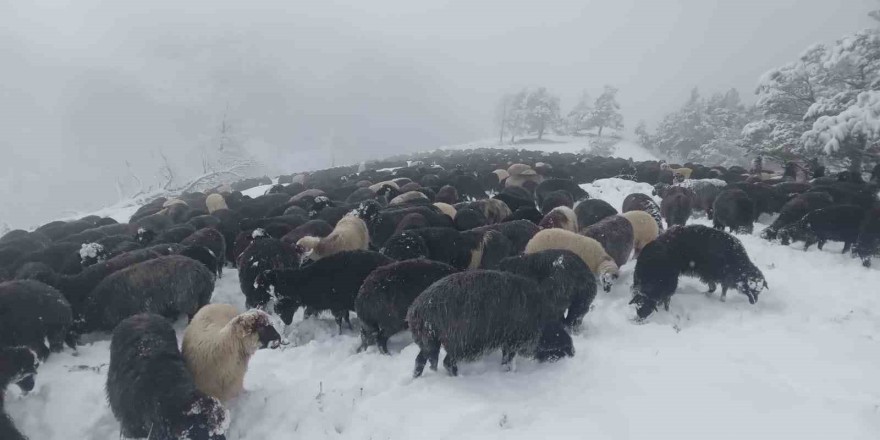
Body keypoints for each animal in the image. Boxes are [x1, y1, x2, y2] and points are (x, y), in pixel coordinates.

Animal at [254, 249, 392, 332]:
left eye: (283, 296)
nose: (285, 321)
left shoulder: (337, 306)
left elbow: (339, 322)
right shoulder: (320, 305)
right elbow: (308, 314)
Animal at [408, 270, 576, 376]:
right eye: (558, 340)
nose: (572, 352)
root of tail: (418, 309)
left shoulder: (507, 339)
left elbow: (505, 357)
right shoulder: (514, 338)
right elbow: (509, 358)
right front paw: (510, 372)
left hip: (428, 342)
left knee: (420, 361)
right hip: (459, 342)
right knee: (447, 363)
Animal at [628, 225, 768, 322]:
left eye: (759, 291)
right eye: (752, 289)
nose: (754, 302)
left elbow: (720, 288)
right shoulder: (715, 273)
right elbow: (718, 288)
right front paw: (712, 296)